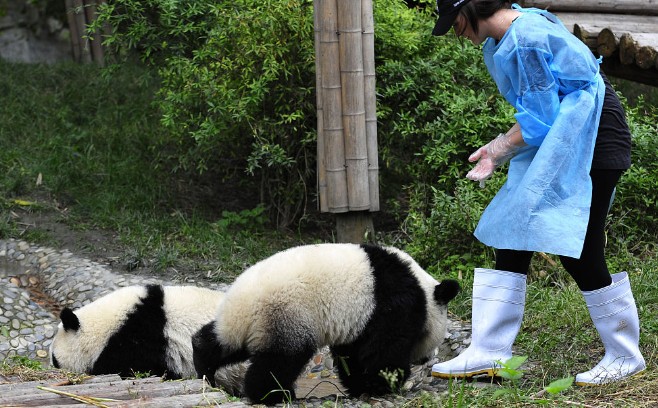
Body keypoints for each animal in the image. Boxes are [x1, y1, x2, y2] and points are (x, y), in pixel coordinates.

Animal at [191, 242, 456, 404]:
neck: (423, 289)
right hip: (286, 314)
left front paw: (361, 386)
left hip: (249, 325)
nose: (425, 359)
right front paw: (384, 384)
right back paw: (273, 394)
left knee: (224, 343)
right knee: (281, 358)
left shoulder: (358, 319)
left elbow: (353, 354)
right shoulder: (392, 303)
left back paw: (205, 368)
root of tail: (241, 304)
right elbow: (383, 350)